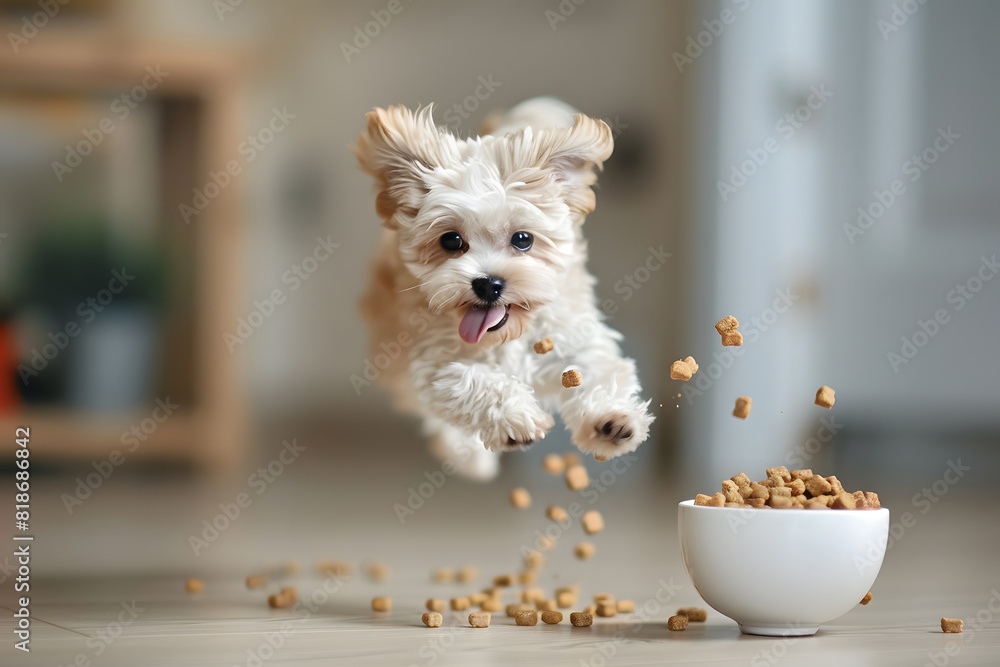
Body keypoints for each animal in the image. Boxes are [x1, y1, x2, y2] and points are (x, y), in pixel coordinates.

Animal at [356, 96, 652, 480]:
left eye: (523, 239)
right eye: (451, 240)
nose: (488, 283)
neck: (508, 335)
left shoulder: (571, 336)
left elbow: (597, 367)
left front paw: (610, 419)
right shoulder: (434, 362)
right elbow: (470, 381)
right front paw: (514, 419)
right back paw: (469, 457)